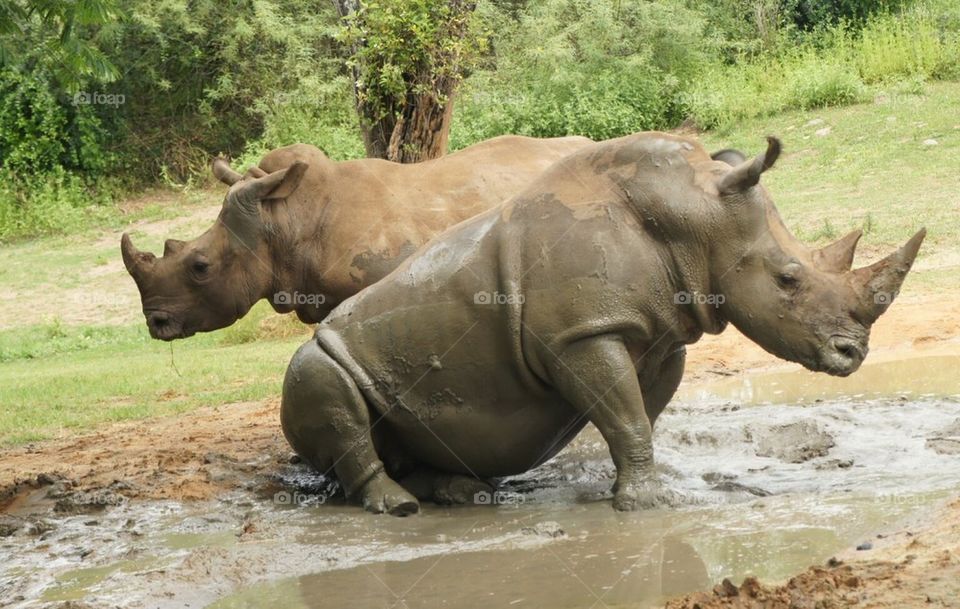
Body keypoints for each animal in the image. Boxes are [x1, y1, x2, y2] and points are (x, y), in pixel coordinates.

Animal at [279, 132, 925, 515]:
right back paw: (401, 506)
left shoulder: (662, 336)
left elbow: (638, 415)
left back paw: (465, 492)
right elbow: (627, 416)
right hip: (319, 355)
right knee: (321, 376)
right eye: (788, 279)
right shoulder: (582, 334)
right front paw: (649, 505)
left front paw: (630, 490)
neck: (694, 214)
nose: (853, 354)